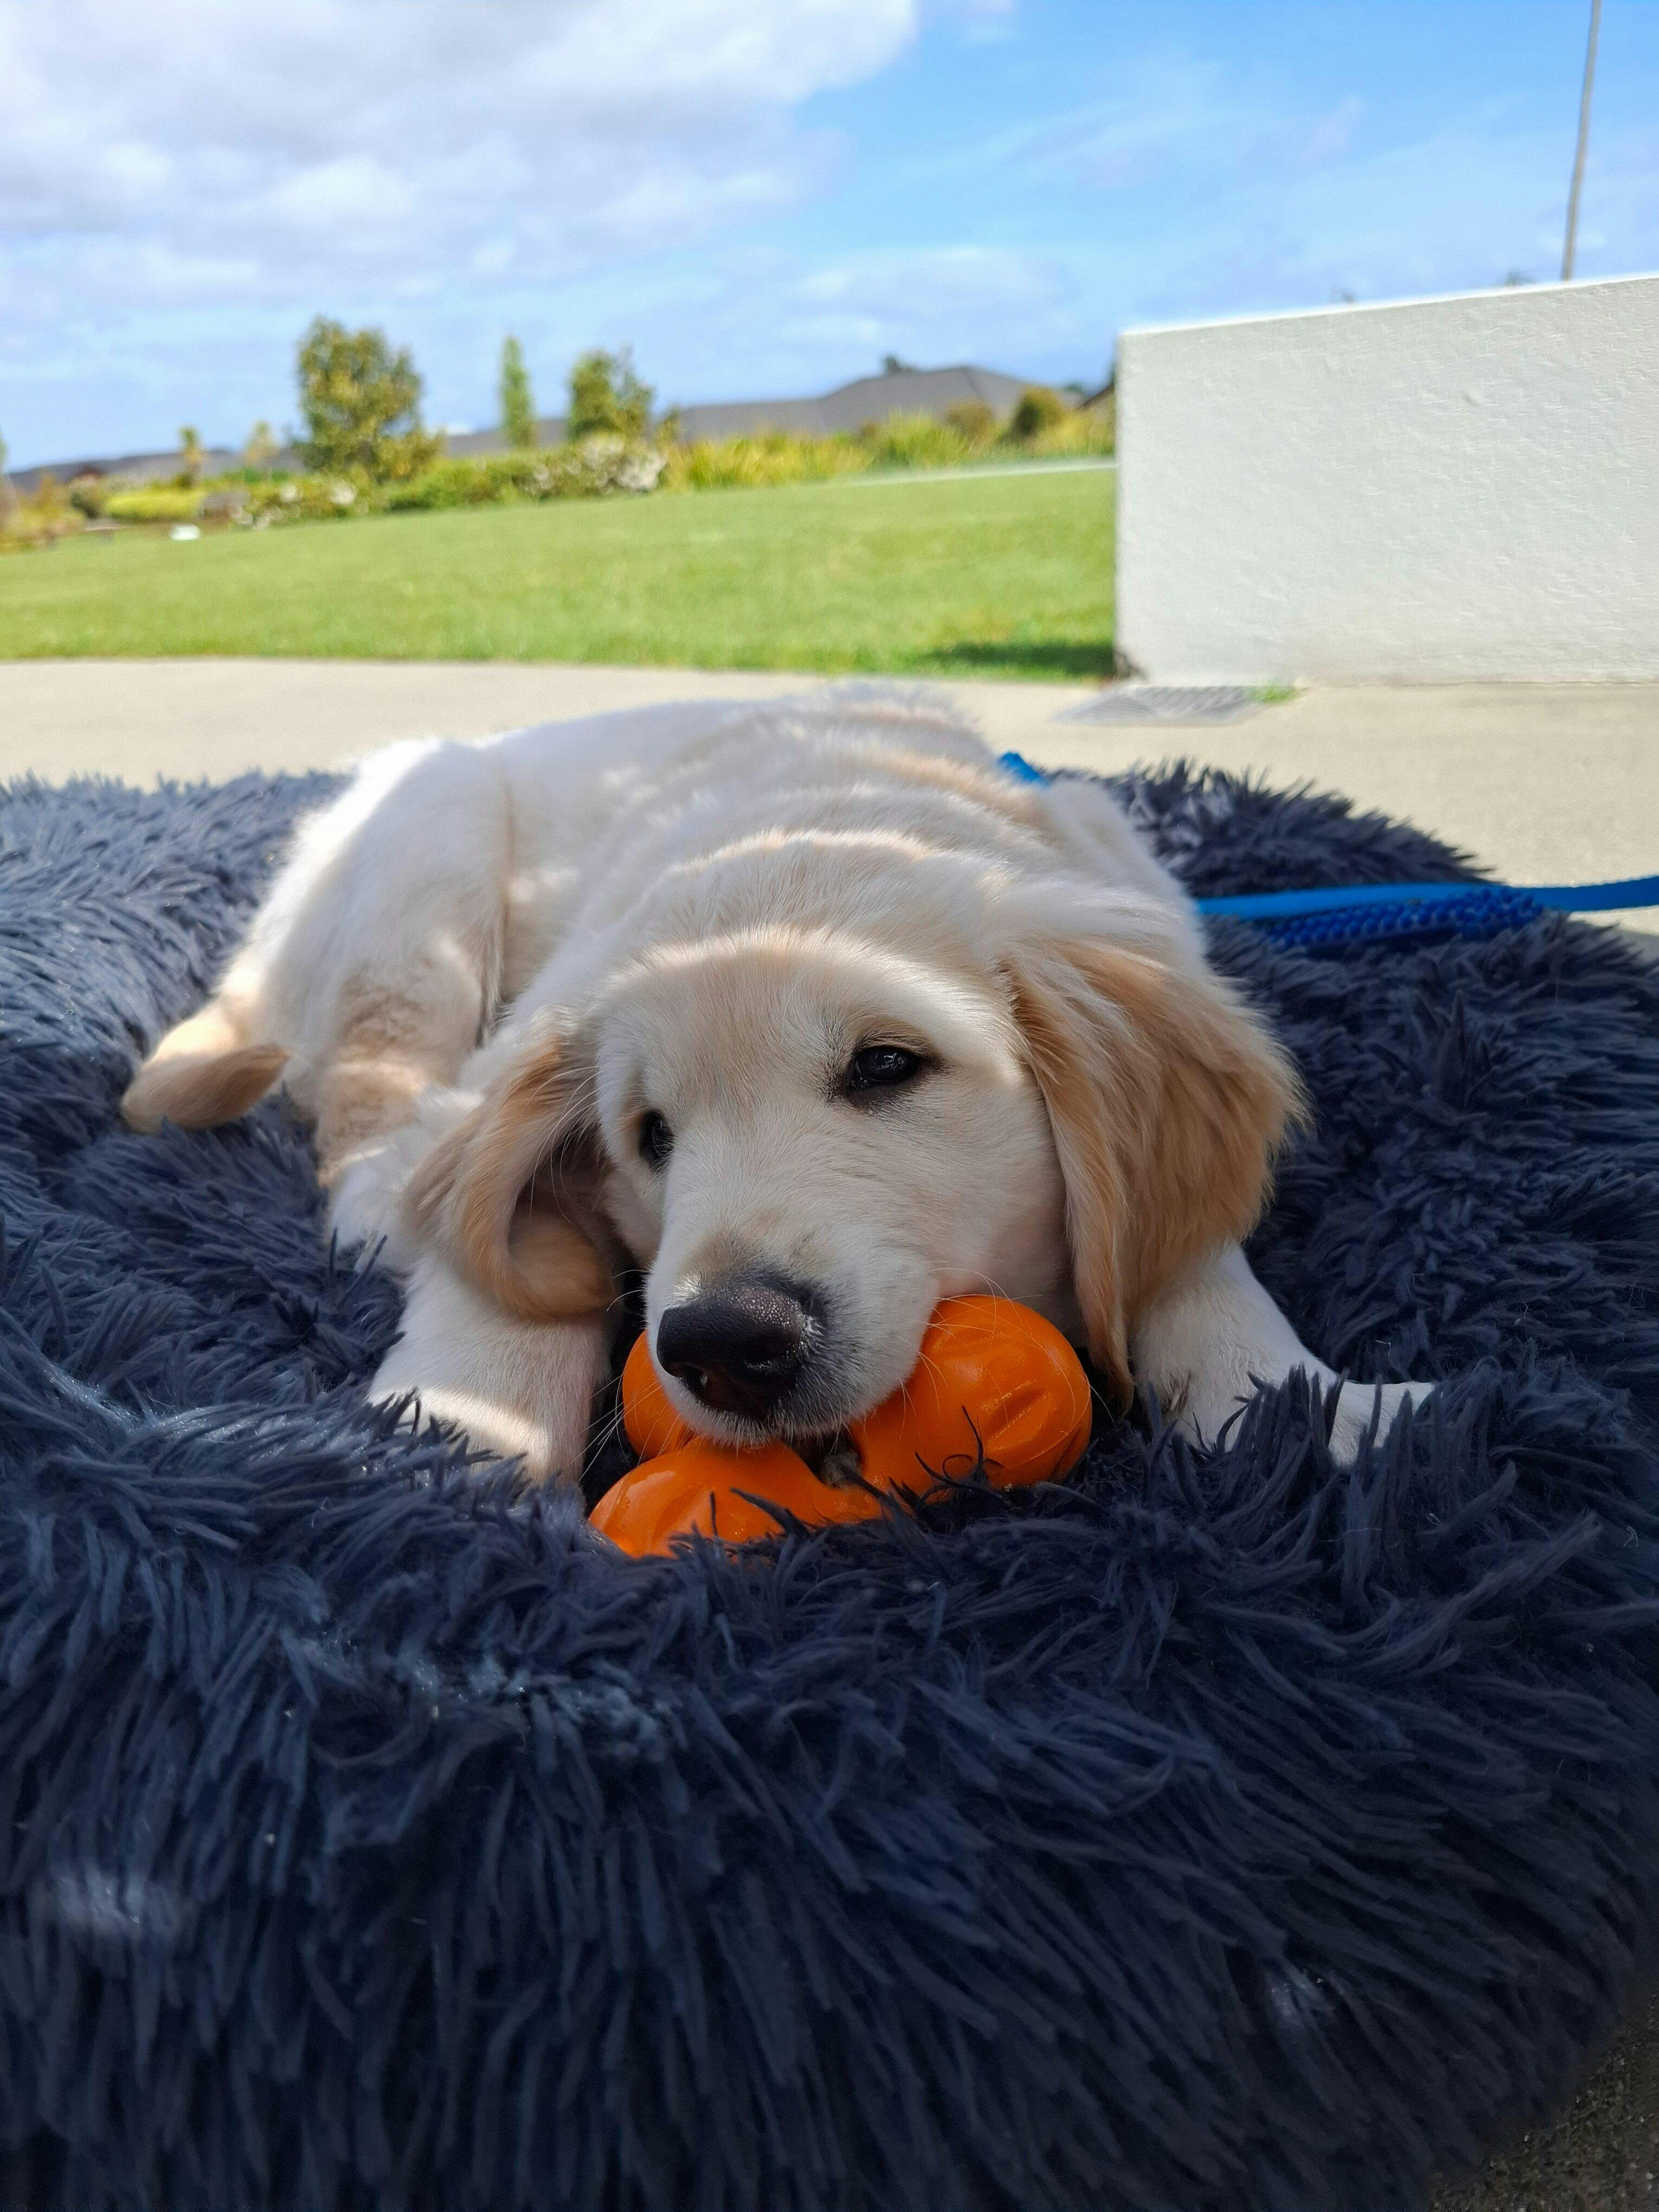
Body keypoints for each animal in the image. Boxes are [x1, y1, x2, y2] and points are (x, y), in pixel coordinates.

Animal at [122, 692, 1427, 1479]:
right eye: (651, 1133)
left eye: (887, 1066)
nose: (722, 1342)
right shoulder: (507, 1070)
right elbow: (498, 1270)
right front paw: (453, 1451)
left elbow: (1191, 1263)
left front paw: (1317, 1413)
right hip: (426, 843)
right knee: (365, 1085)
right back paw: (374, 1201)